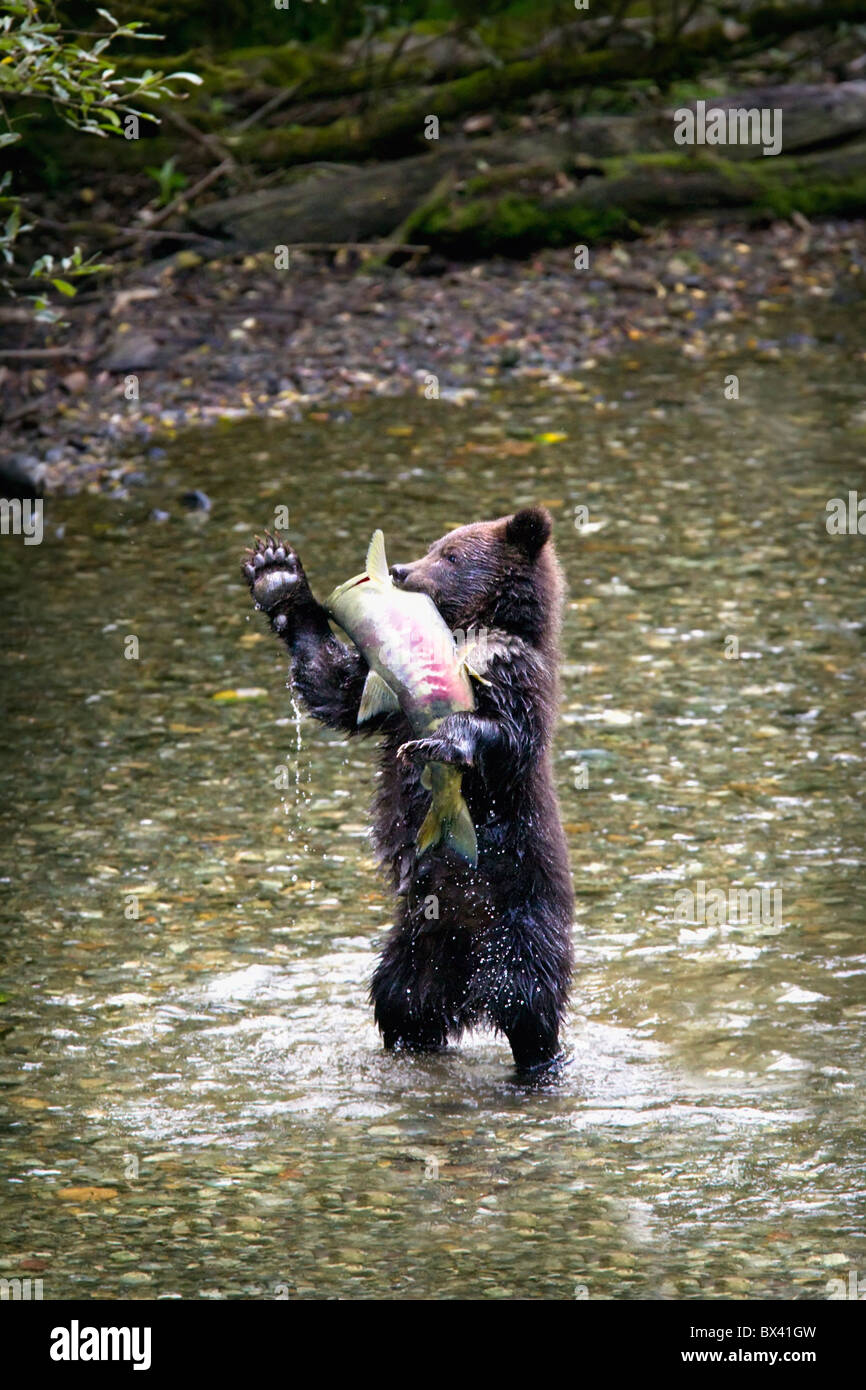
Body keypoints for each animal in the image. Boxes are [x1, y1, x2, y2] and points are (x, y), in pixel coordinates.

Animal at [240, 511, 575, 1073]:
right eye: (435, 545)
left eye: (451, 555)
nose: (399, 569)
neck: (464, 630)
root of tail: (472, 996)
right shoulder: (385, 696)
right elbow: (336, 687)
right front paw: (277, 575)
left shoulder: (515, 675)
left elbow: (507, 732)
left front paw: (443, 738)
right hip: (417, 944)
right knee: (401, 1002)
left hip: (522, 920)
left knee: (530, 1006)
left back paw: (538, 1063)